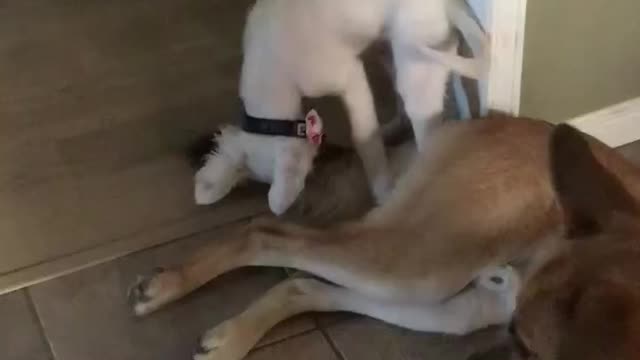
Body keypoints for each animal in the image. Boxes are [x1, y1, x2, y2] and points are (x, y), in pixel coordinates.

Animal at [127, 116, 640, 358]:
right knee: (262, 233)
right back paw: (168, 286)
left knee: (302, 284)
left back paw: (231, 338)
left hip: (458, 306)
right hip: (428, 263)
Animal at [194, 0, 484, 214]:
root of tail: (449, 4)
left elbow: (365, 140)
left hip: (416, 62)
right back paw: (392, 128)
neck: (270, 69)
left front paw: (383, 190)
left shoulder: (351, 77)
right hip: (388, 46)